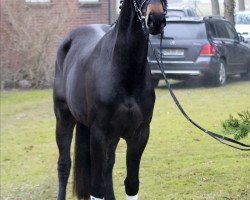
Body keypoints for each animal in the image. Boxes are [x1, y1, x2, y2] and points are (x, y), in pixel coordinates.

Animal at [53, 0, 167, 199]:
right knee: (64, 165)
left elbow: (131, 183)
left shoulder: (139, 134)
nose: (156, 19)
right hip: (64, 120)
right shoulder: (99, 134)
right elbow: (97, 188)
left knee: (108, 166)